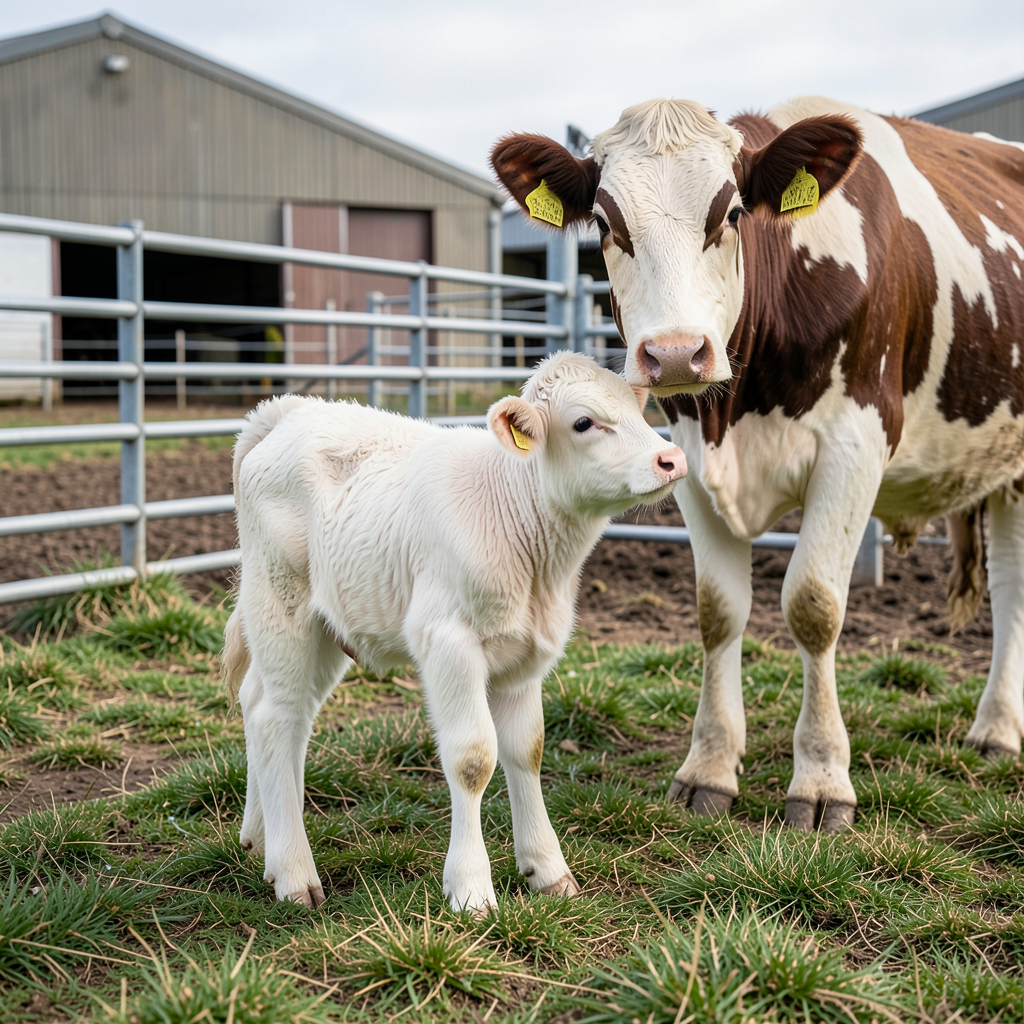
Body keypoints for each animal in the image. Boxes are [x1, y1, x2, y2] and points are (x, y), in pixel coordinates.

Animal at [221, 352, 686, 912]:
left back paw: (261, 840)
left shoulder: (526, 656)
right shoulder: (448, 643)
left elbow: (527, 749)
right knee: (275, 717)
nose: (672, 458)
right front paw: (471, 890)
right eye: (583, 422)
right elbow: (473, 759)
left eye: (639, 412)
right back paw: (294, 873)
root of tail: (287, 410)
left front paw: (547, 870)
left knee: (275, 711)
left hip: (327, 624)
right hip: (281, 605)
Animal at [492, 97, 1024, 831]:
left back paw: (997, 729)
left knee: (1012, 586)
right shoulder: (687, 451)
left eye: (733, 213)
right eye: (605, 222)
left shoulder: (857, 443)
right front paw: (710, 767)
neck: (738, 413)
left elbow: (814, 606)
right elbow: (717, 609)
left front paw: (823, 780)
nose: (677, 353)